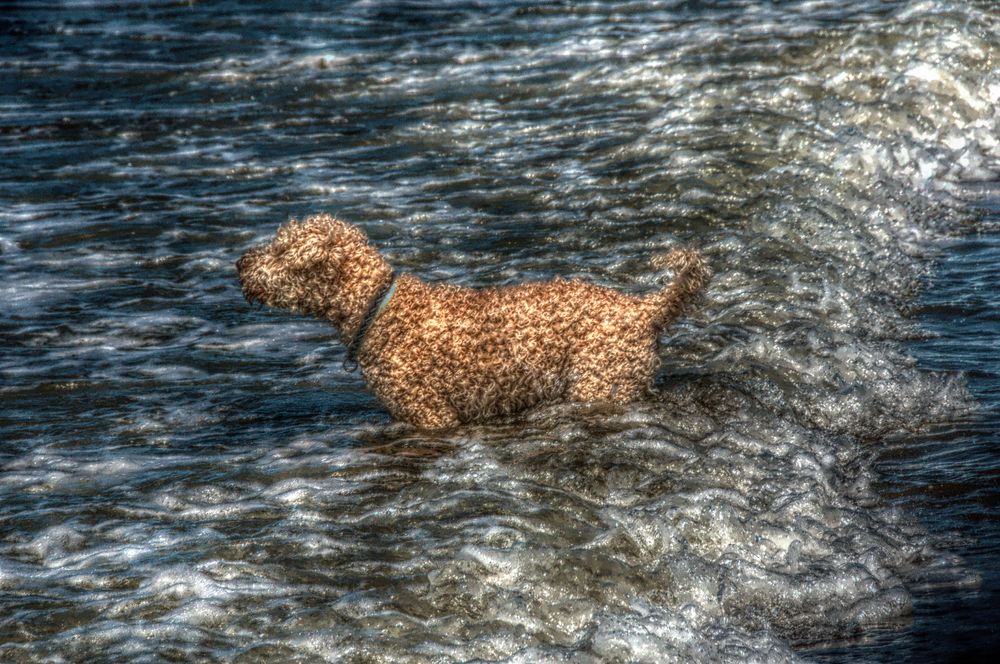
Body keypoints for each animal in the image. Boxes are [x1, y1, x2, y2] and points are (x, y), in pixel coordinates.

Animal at [238, 215, 712, 428]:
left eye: (280, 251)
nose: (241, 262)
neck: (377, 306)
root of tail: (644, 308)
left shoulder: (430, 414)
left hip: (600, 383)